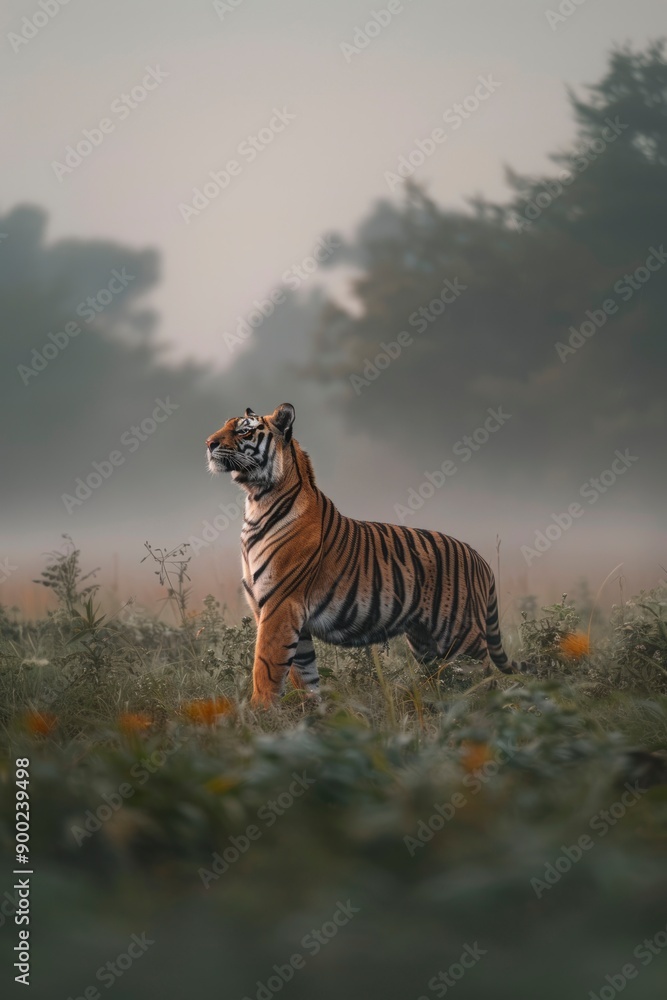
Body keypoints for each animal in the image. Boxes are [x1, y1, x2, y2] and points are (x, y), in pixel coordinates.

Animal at [206, 403, 528, 707]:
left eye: (244, 431)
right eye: (225, 425)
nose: (208, 443)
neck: (256, 501)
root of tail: (479, 558)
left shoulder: (279, 604)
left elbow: (266, 667)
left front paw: (259, 713)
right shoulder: (278, 610)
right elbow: (303, 673)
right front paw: (311, 712)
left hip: (462, 636)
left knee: (484, 680)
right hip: (425, 641)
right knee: (442, 678)